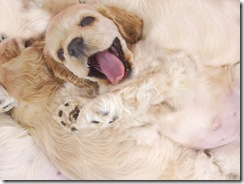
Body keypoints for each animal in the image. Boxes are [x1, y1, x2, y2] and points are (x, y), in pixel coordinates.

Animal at [0, 4, 239, 180]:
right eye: (60, 53)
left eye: (86, 21)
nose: (73, 46)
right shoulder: (143, 130)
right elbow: (132, 105)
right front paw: (80, 111)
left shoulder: (177, 68)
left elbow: (136, 86)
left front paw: (81, 109)